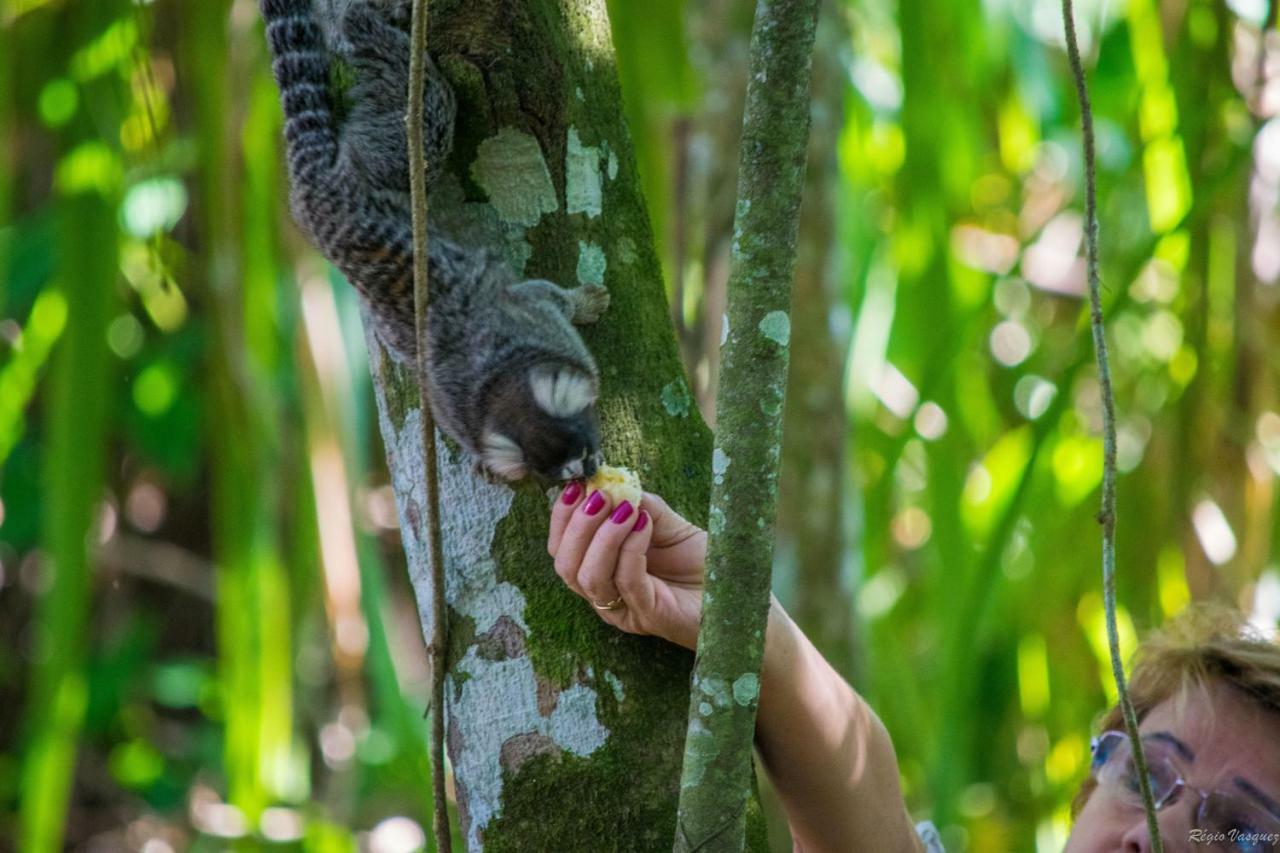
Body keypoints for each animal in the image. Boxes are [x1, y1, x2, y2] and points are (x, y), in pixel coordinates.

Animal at [259, 0, 609, 479]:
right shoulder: (498, 364)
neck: (501, 377)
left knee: (426, 114)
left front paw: (585, 303)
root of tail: (317, 185)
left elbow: (548, 299)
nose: (589, 473)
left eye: (584, 453)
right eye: (563, 474)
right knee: (428, 114)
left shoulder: (533, 323)